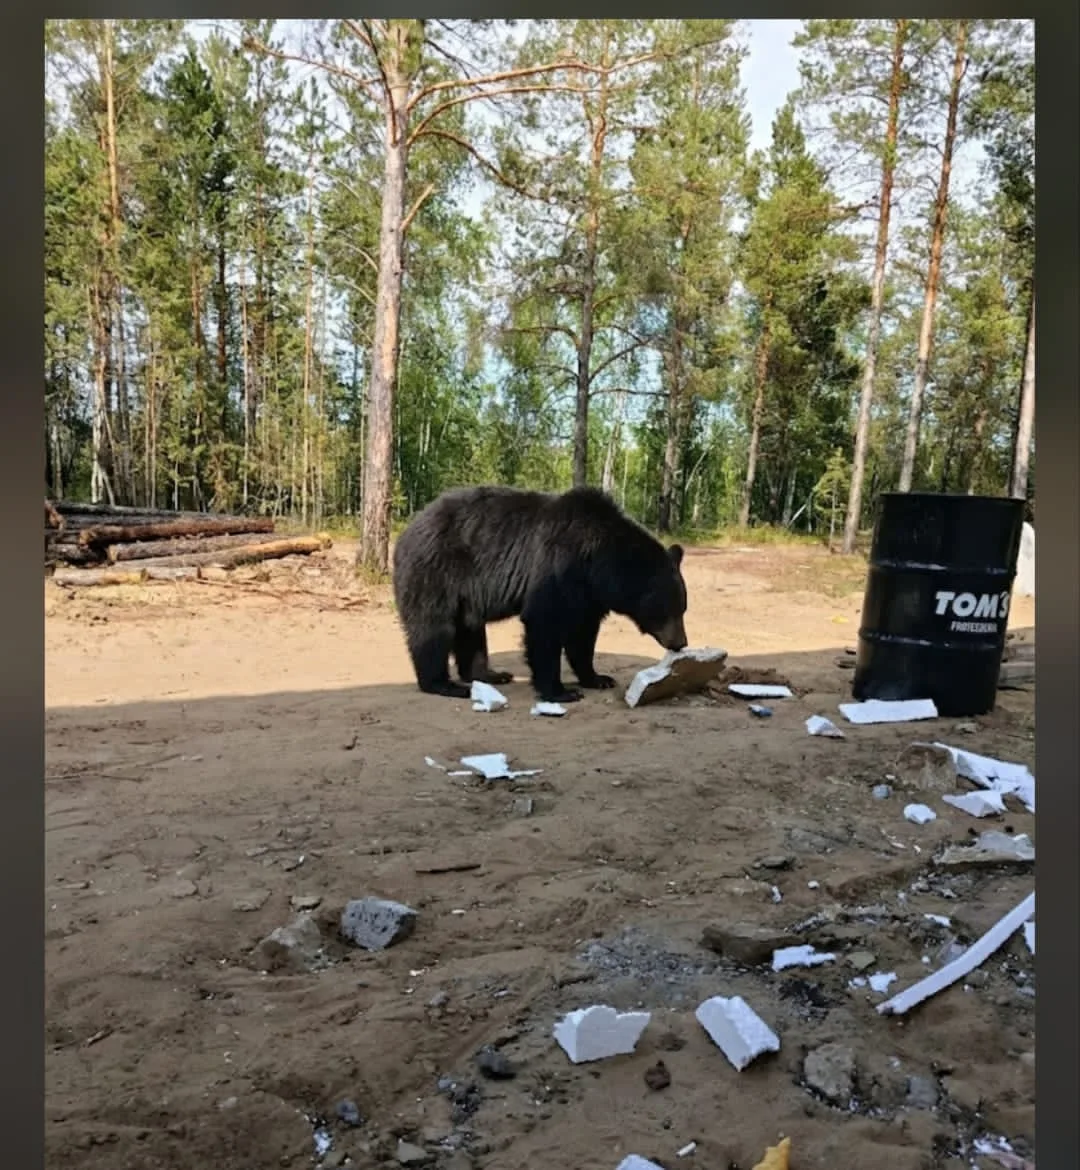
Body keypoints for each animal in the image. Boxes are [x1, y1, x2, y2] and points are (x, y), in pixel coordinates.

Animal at [392, 484, 689, 703]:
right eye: (669, 608)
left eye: (683, 607)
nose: (681, 643)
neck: (598, 561)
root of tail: (406, 532)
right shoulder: (558, 566)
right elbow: (545, 623)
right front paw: (562, 691)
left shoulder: (588, 595)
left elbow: (583, 635)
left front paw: (598, 678)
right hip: (436, 572)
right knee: (433, 627)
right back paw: (444, 684)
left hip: (465, 593)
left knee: (470, 630)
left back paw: (490, 674)